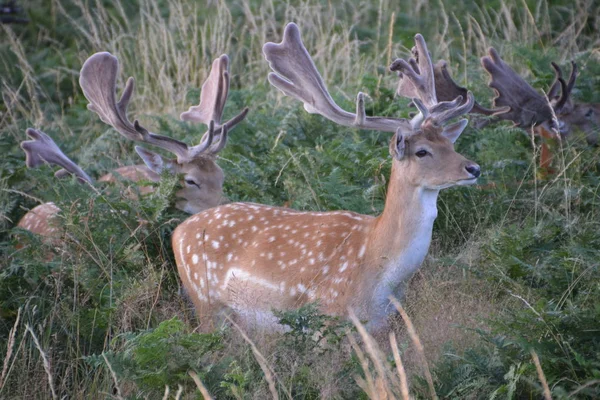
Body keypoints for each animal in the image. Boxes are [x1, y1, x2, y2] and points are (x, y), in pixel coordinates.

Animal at [169, 23, 478, 332]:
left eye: (450, 144)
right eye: (422, 151)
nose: (473, 168)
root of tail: (177, 232)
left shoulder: (379, 324)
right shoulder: (328, 313)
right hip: (206, 302)